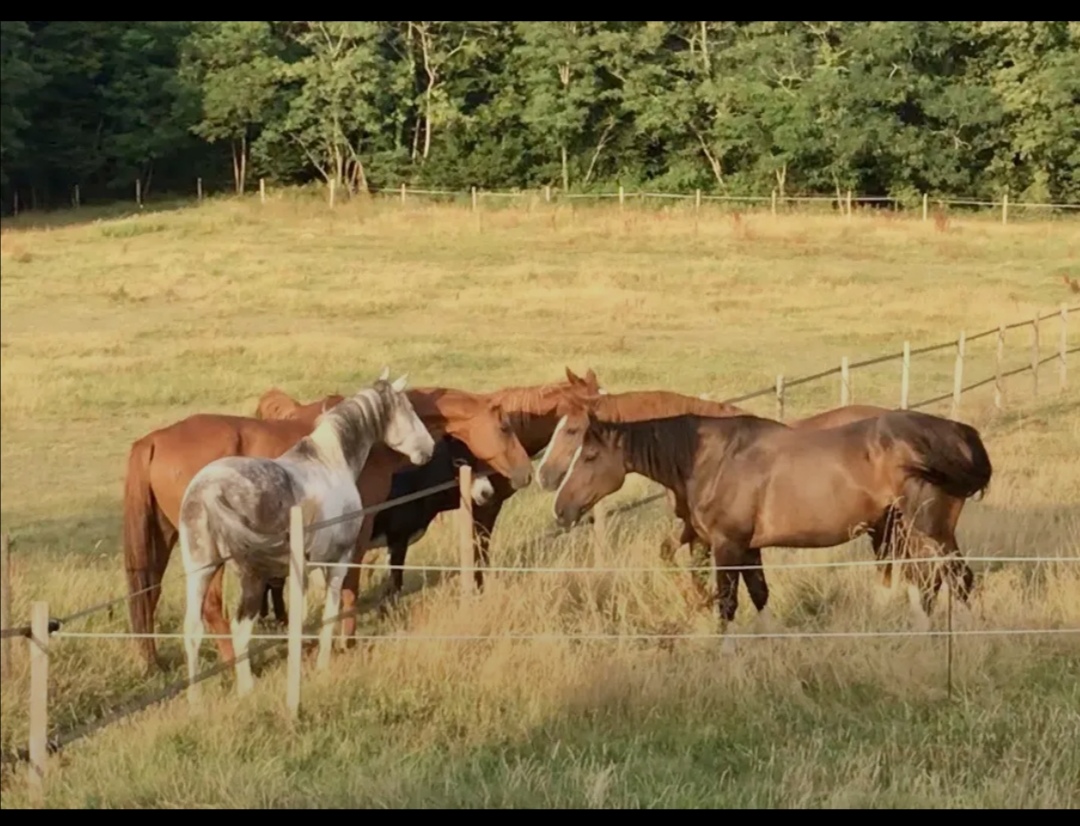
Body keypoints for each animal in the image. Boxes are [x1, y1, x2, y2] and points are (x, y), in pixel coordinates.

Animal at [123, 383, 534, 672]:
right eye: (504, 426)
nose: (525, 473)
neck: (366, 440)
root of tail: (154, 440)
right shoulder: (360, 527)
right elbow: (349, 586)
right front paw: (345, 642)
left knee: (150, 595)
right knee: (210, 608)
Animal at [178, 371, 436, 701]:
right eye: (408, 409)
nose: (428, 448)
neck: (330, 461)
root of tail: (209, 491)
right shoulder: (338, 560)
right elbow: (330, 609)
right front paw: (324, 662)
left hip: (200, 570)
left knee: (193, 630)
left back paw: (195, 699)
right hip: (250, 576)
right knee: (240, 628)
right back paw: (247, 689)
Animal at [552, 409, 991, 643]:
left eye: (589, 456)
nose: (560, 508)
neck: (711, 458)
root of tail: (959, 433)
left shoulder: (728, 545)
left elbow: (728, 603)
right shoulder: (747, 546)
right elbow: (760, 594)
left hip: (931, 530)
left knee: (959, 579)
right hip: (906, 529)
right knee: (928, 582)